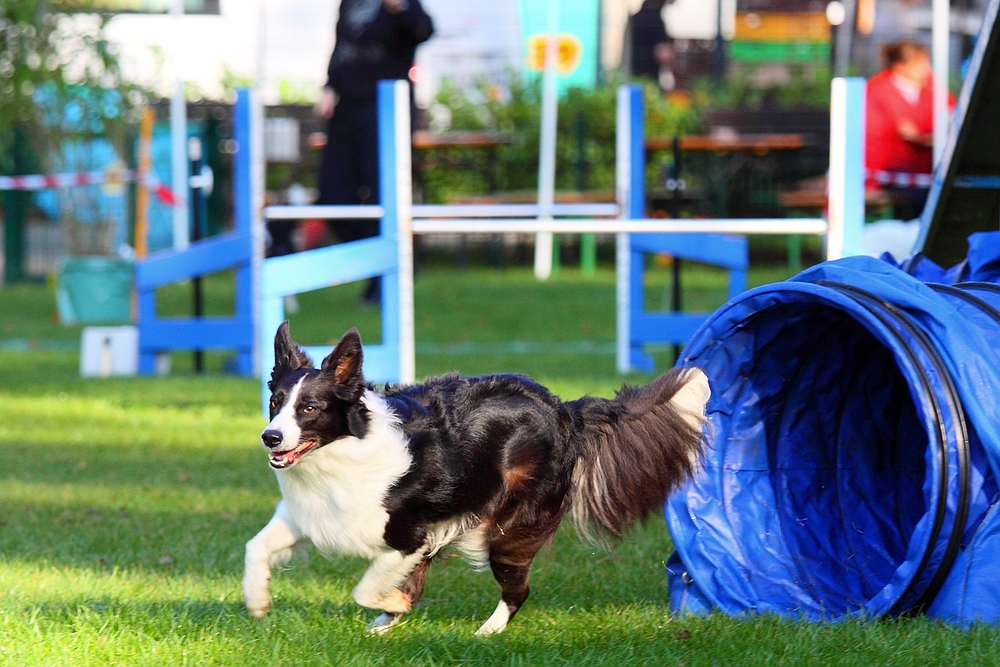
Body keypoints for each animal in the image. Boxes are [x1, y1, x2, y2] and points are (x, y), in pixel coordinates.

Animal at [242, 324, 712, 636]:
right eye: (275, 402)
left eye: (310, 408)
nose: (270, 438)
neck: (342, 449)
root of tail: (566, 410)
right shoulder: (309, 515)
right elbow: (254, 546)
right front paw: (257, 601)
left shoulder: (409, 535)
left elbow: (365, 587)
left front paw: (392, 602)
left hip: (506, 530)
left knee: (518, 589)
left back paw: (487, 632)